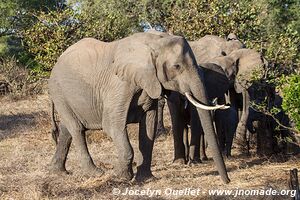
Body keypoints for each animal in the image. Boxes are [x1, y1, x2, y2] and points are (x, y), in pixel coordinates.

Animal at [48, 30, 230, 183]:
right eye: (177, 66)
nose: (227, 181)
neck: (154, 41)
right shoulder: (118, 85)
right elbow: (112, 126)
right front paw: (122, 177)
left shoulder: (150, 83)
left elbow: (148, 127)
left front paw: (146, 178)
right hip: (58, 90)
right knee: (77, 129)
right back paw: (95, 173)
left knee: (67, 129)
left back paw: (58, 171)